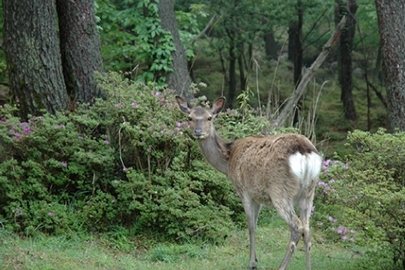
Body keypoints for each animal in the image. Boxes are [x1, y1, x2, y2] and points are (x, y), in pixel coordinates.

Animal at [175, 96, 320, 268]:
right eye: (189, 117)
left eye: (209, 118)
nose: (198, 132)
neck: (228, 161)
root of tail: (304, 151)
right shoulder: (258, 196)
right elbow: (255, 225)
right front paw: (255, 259)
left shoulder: (244, 190)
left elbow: (250, 226)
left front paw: (252, 263)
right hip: (309, 191)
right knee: (307, 228)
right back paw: (308, 267)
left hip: (279, 189)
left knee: (297, 227)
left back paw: (281, 266)